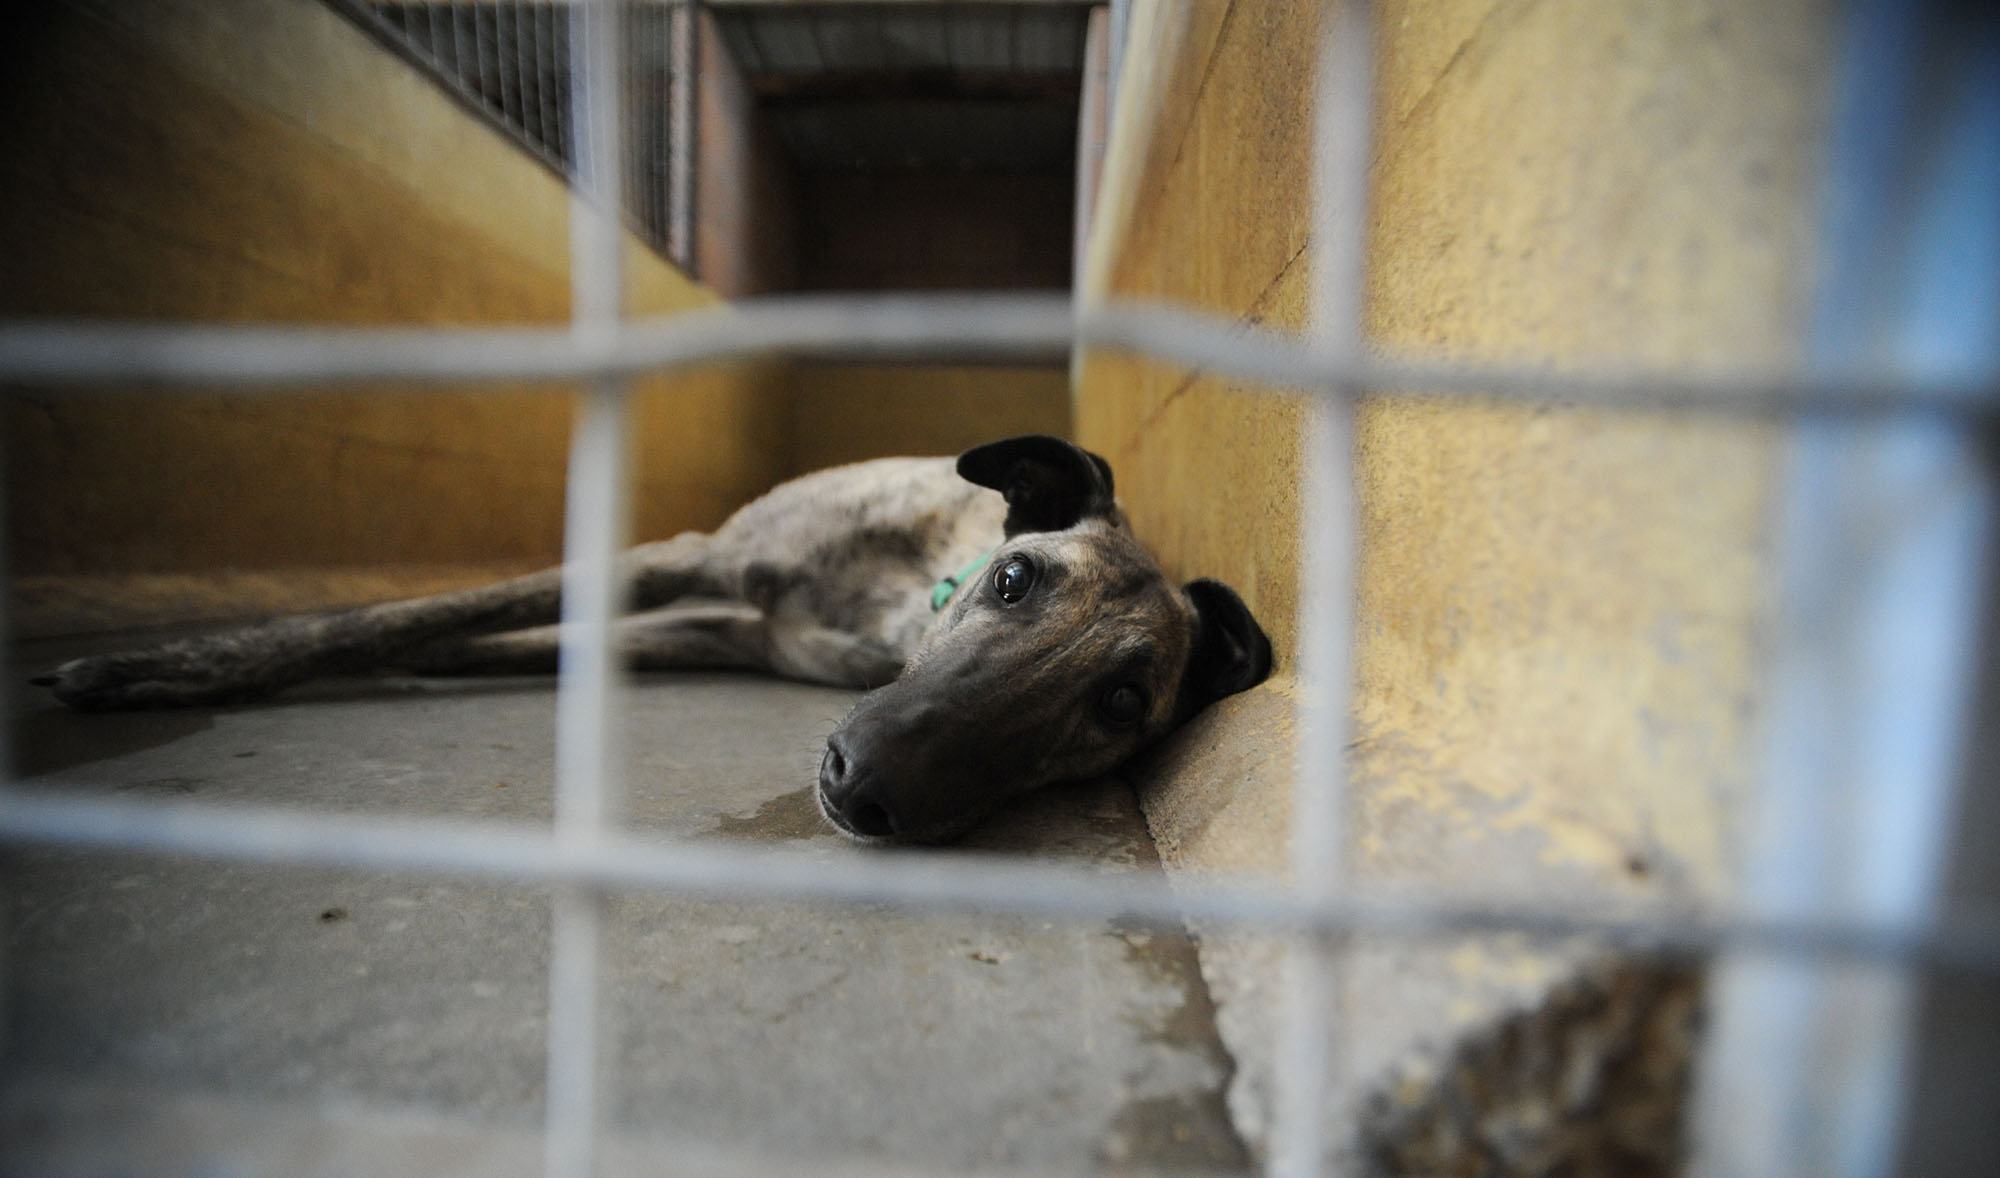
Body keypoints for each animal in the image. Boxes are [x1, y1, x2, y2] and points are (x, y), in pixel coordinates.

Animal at [39, 436, 1272, 840]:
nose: (865, 785)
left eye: (1119, 708)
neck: (910, 588)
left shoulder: (725, 628)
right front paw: (161, 666)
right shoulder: (696, 560)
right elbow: (410, 613)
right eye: (1013, 580)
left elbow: (487, 634)